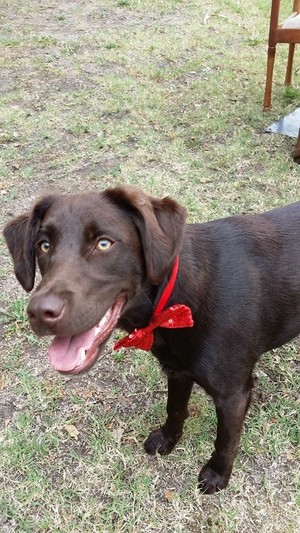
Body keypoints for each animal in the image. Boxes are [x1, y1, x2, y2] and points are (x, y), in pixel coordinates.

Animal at [2, 187, 300, 490]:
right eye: (43, 246)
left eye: (104, 244)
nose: (40, 312)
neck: (177, 301)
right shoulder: (177, 371)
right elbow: (175, 408)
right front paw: (167, 439)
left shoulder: (233, 394)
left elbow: (226, 439)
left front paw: (217, 474)